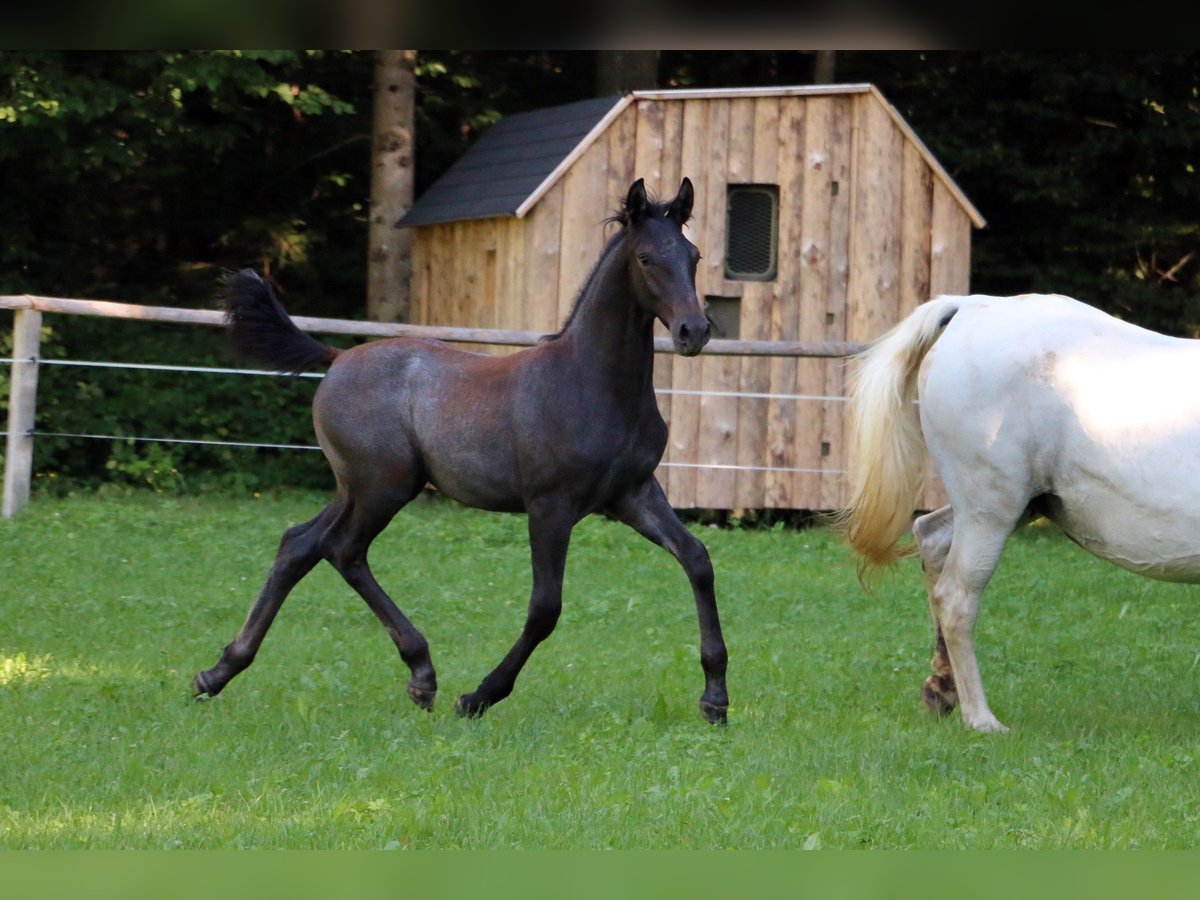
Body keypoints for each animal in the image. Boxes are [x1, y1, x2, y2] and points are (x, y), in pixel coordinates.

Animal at [840, 296, 1200, 734]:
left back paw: (943, 689)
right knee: (955, 598)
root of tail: (970, 306)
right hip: (990, 514)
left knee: (931, 538)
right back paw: (980, 718)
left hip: (1002, 509)